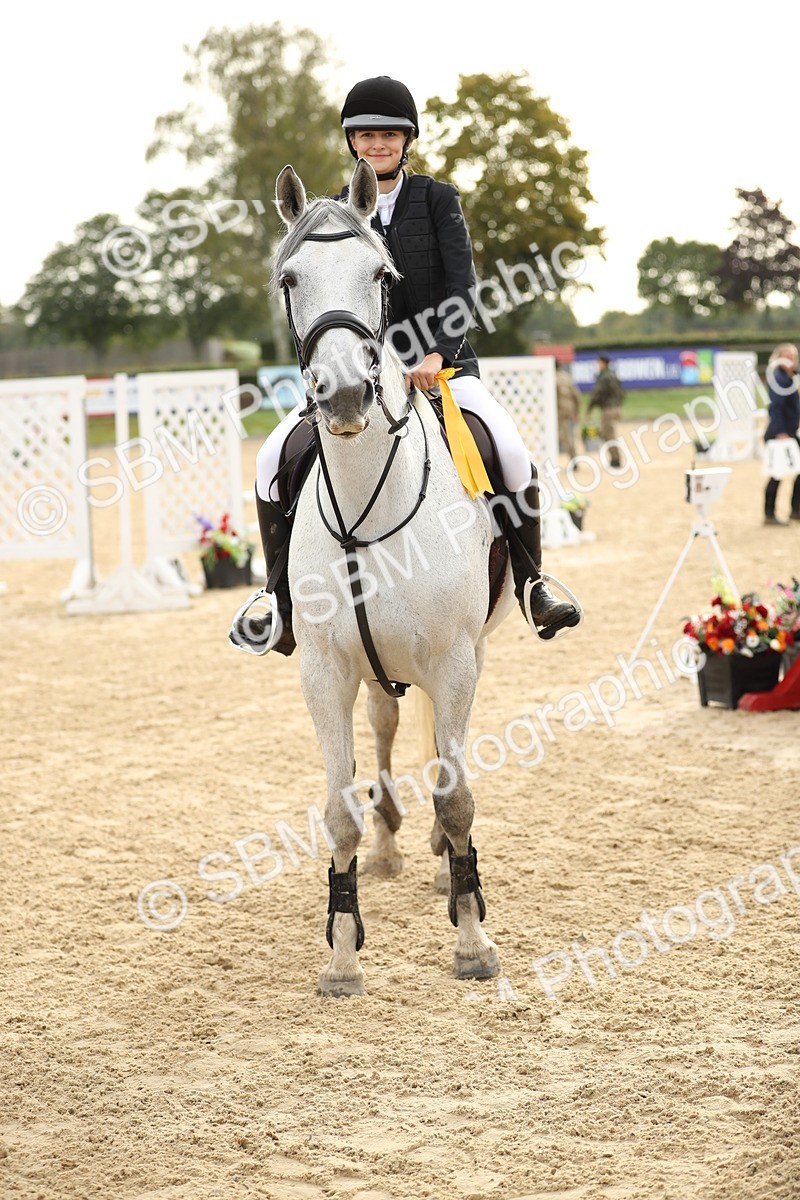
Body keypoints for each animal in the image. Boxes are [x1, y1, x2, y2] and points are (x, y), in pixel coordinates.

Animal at [273, 159, 516, 996]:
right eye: (289, 279)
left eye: (381, 275)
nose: (346, 395)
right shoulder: (323, 668)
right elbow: (339, 805)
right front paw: (343, 953)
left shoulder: (454, 657)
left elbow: (458, 796)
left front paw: (473, 943)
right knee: (386, 728)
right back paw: (388, 847)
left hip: (473, 650)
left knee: (447, 753)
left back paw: (445, 867)